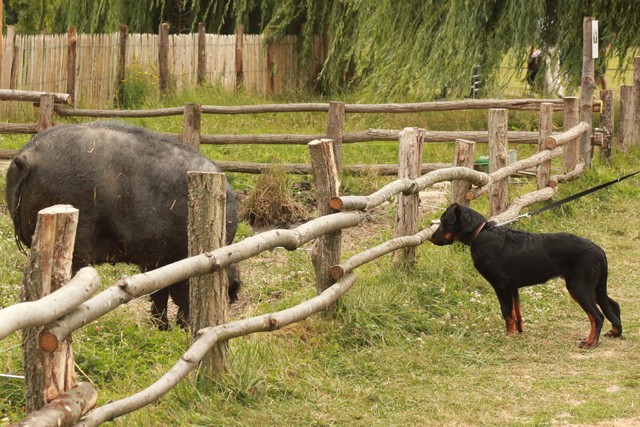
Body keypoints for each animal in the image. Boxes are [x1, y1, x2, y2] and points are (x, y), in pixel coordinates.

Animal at [430, 203, 620, 348]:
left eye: (443, 221)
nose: (431, 238)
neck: (480, 233)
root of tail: (599, 250)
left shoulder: (501, 286)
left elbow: (507, 313)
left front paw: (509, 337)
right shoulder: (513, 287)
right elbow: (517, 313)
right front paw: (519, 332)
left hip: (579, 286)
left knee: (597, 316)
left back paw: (590, 342)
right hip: (593, 287)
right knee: (612, 305)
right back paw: (615, 331)